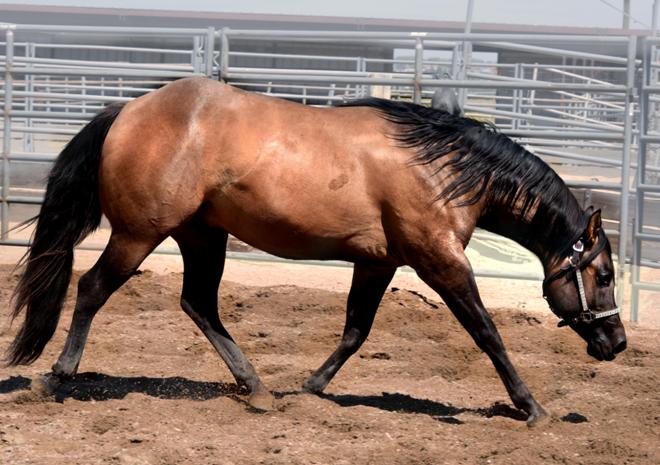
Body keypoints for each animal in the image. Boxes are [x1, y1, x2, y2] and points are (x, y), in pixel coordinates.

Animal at [5, 77, 628, 424]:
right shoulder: (439, 260)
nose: (617, 343)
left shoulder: (378, 261)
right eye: (602, 274)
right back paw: (57, 377)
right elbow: (487, 333)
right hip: (140, 234)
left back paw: (258, 389)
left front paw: (310, 387)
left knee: (199, 304)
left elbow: (355, 330)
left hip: (202, 236)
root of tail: (128, 111)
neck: (442, 168)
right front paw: (533, 408)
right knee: (92, 289)